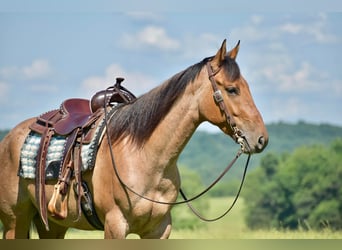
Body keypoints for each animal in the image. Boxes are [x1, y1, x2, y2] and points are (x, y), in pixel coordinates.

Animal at [0, 39, 268, 238]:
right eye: (232, 89)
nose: (261, 139)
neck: (145, 157)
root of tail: (8, 139)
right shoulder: (115, 226)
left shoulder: (159, 230)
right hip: (16, 221)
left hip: (54, 226)